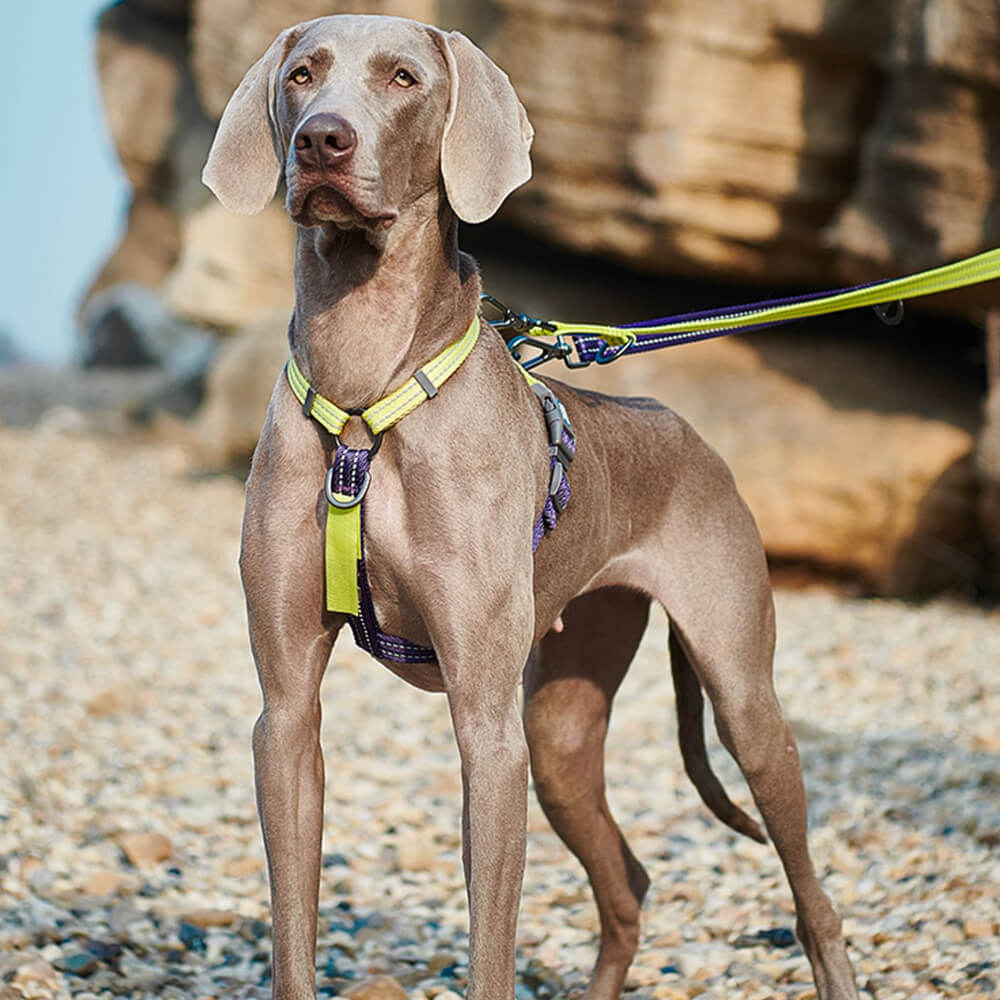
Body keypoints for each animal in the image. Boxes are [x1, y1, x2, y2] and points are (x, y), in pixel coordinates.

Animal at [203, 13, 860, 1000]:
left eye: (403, 78)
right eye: (302, 74)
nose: (322, 139)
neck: (365, 392)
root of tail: (681, 428)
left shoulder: (487, 726)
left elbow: (491, 945)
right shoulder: (283, 717)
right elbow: (292, 931)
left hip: (741, 700)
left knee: (810, 890)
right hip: (560, 731)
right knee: (627, 882)